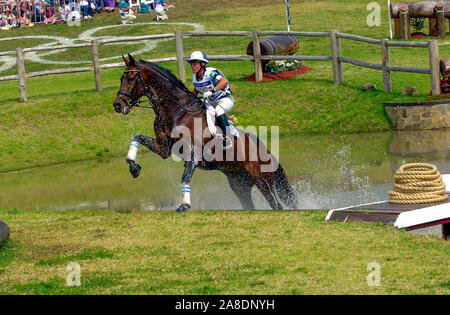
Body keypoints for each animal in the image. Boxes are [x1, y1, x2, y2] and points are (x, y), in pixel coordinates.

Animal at [111, 54, 298, 212]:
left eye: (131, 78)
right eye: (121, 78)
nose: (118, 105)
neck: (176, 111)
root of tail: (268, 151)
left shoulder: (192, 155)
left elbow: (185, 178)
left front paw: (184, 205)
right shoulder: (163, 147)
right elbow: (137, 138)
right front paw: (133, 167)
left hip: (262, 180)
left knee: (276, 205)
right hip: (239, 182)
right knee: (249, 205)